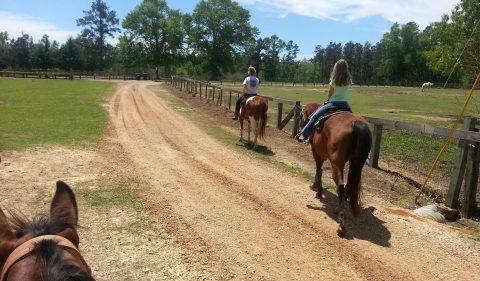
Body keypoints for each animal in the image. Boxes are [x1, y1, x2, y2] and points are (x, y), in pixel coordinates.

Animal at [300, 103, 372, 234]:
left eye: (299, 117)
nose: (300, 134)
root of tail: (356, 123)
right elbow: (319, 171)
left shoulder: (316, 153)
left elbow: (319, 170)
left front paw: (318, 191)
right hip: (356, 163)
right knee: (348, 186)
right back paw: (338, 209)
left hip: (337, 164)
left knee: (341, 187)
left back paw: (341, 224)